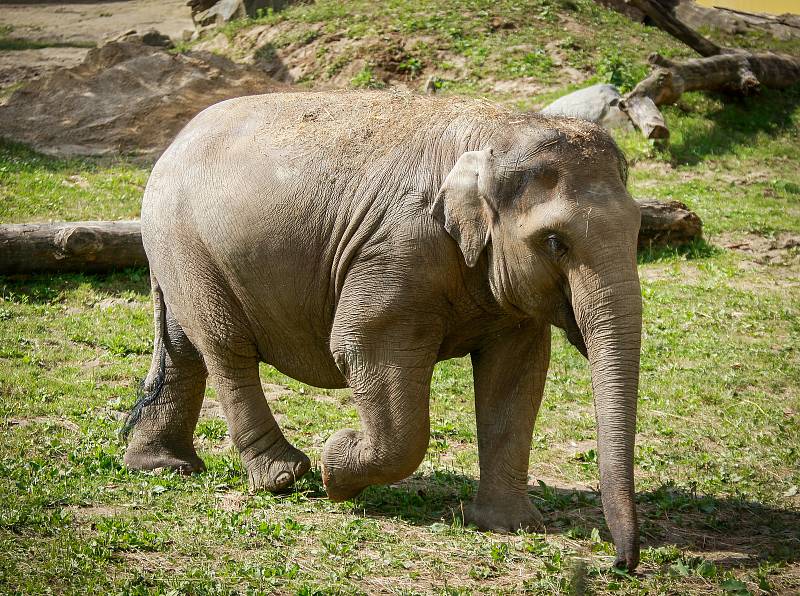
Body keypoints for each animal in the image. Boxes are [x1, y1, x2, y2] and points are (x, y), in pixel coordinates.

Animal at [123, 88, 644, 568]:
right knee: (226, 347)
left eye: (639, 230)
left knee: (184, 348)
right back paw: (285, 477)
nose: (620, 563)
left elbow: (516, 374)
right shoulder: (398, 250)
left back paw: (166, 467)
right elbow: (363, 348)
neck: (497, 132)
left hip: (177, 254)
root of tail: (174, 142)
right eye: (555, 242)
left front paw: (511, 526)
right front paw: (336, 464)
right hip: (189, 247)